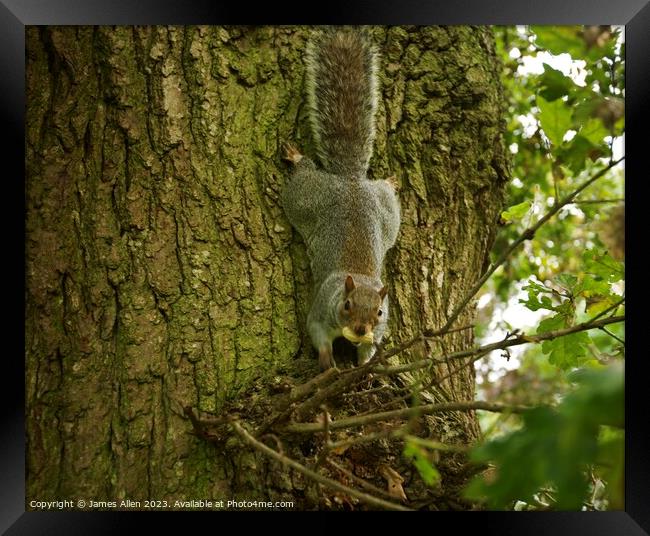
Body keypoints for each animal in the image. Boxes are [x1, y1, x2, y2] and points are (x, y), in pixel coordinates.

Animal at [282, 28, 400, 372]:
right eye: (346, 305)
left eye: (380, 312)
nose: (360, 329)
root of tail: (350, 181)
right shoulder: (321, 311)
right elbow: (317, 333)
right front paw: (326, 359)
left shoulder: (379, 331)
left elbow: (369, 351)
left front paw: (363, 366)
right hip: (305, 197)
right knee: (303, 175)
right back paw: (297, 158)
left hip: (388, 215)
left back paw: (390, 181)